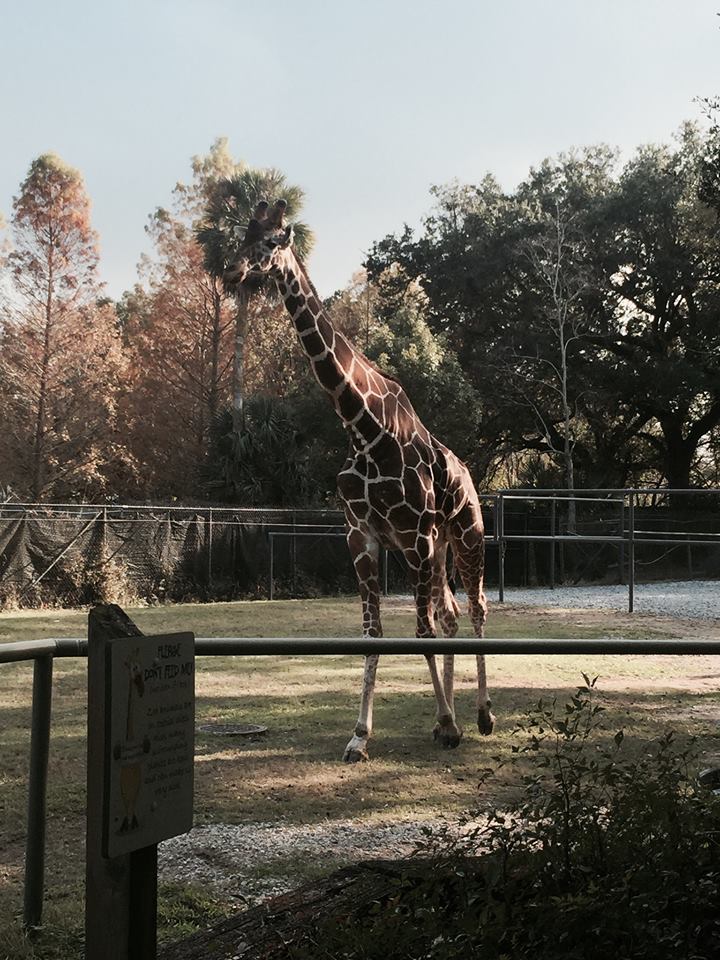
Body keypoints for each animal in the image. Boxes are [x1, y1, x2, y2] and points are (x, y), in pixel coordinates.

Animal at [224, 199, 495, 762]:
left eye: (272, 242)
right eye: (240, 236)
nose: (231, 271)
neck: (363, 428)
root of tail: (469, 475)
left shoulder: (414, 535)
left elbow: (420, 632)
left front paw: (449, 723)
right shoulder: (363, 535)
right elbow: (374, 632)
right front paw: (361, 736)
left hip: (465, 534)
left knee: (477, 609)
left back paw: (480, 716)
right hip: (437, 548)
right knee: (452, 614)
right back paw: (451, 718)